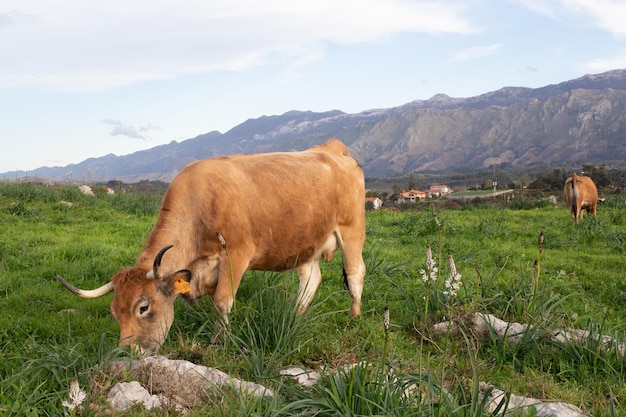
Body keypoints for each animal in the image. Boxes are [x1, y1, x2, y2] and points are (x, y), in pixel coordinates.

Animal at [57, 139, 366, 352]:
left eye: (143, 308)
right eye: (113, 313)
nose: (125, 352)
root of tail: (332, 148)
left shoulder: (237, 255)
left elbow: (222, 301)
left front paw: (221, 340)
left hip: (352, 230)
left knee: (355, 274)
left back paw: (353, 318)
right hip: (306, 243)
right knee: (311, 279)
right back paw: (295, 316)